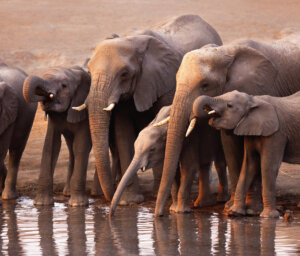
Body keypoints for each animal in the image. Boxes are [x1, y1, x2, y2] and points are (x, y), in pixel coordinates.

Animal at [22, 65, 91, 206]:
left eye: (64, 86)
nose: (47, 95)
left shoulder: (84, 113)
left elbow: (81, 146)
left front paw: (77, 205)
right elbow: (51, 145)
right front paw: (41, 204)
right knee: (71, 149)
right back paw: (67, 193)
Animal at [72, 15, 223, 205]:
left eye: (124, 74)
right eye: (89, 71)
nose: (109, 196)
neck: (130, 39)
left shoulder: (166, 82)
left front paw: (157, 194)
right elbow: (123, 134)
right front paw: (130, 201)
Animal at [192, 90, 300, 218]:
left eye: (229, 105)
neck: (253, 100)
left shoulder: (276, 134)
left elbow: (268, 167)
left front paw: (268, 217)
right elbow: (249, 164)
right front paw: (233, 212)